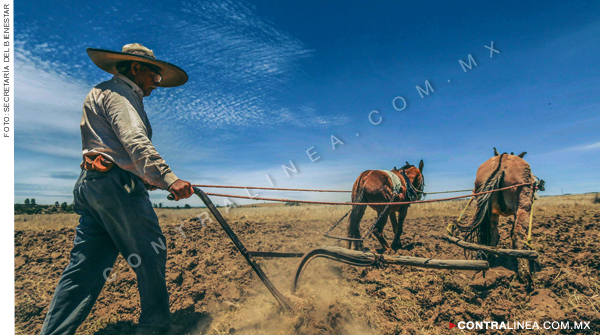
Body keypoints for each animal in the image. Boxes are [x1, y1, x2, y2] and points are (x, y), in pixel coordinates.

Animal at [460, 150, 544, 284]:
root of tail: (501, 165)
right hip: (523, 203)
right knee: (518, 234)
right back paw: (525, 273)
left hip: (488, 208)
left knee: (492, 233)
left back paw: (489, 256)